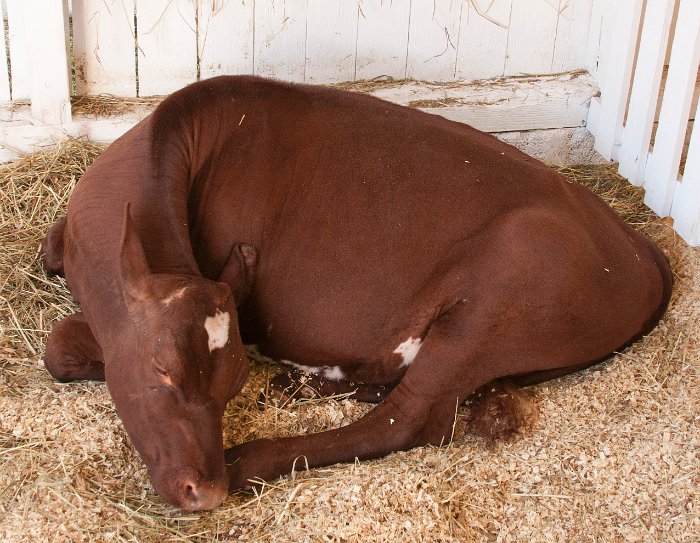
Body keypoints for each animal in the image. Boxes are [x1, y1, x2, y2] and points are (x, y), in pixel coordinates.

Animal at [39, 75, 672, 510]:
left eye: (234, 384)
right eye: (163, 369)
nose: (208, 489)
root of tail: (640, 245)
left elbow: (60, 344)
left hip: (501, 295)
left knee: (409, 418)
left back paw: (255, 455)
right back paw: (313, 382)